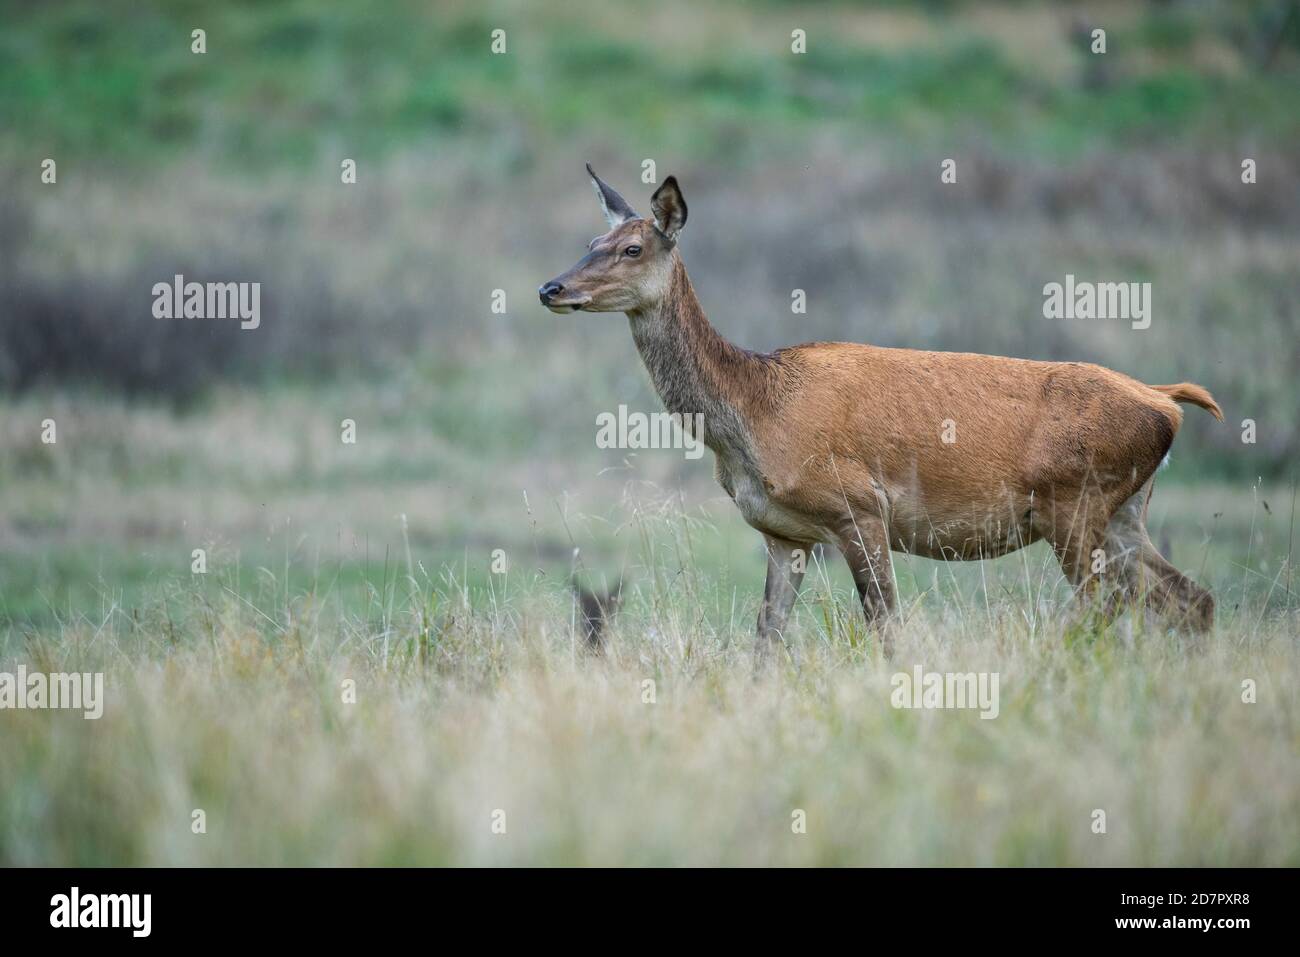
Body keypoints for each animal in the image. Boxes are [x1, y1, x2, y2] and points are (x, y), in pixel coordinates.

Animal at [535, 164, 1216, 657]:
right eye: (590, 240)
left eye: (631, 248)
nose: (551, 287)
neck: (755, 414)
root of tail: (1168, 402)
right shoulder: (784, 533)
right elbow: (766, 639)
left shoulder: (860, 506)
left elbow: (887, 627)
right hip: (1124, 512)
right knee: (1192, 600)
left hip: (1073, 503)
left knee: (1108, 606)